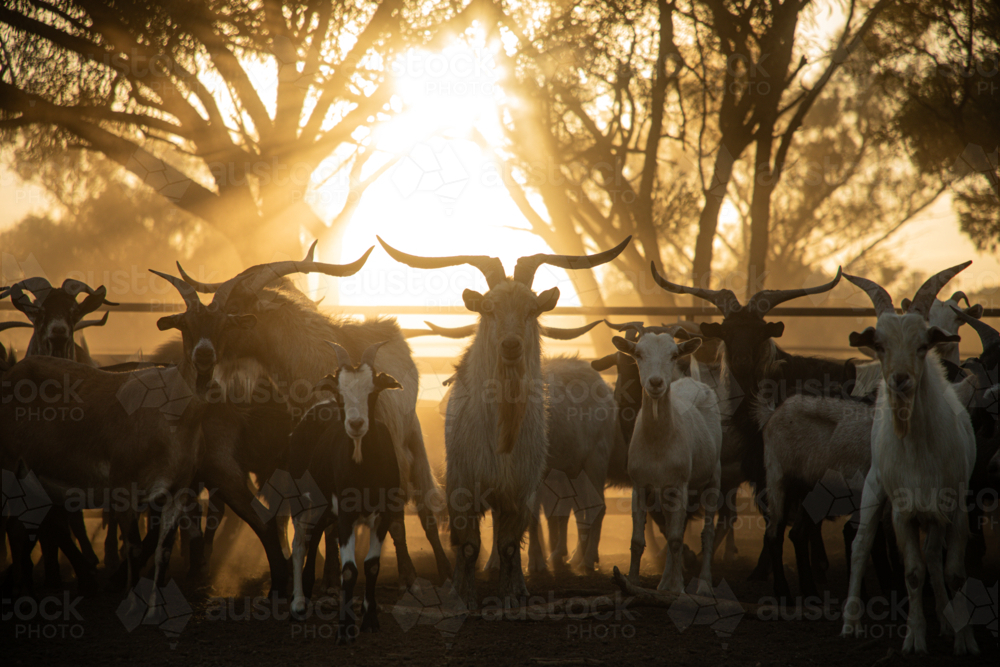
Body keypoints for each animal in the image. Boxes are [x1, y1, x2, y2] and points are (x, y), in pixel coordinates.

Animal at [288, 342, 402, 643]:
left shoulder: (383, 514)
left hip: (325, 508)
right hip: (299, 497)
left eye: (372, 390)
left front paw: (370, 620)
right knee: (300, 543)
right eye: (340, 393)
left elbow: (371, 565)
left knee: (315, 535)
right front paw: (346, 629)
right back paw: (298, 604)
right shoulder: (347, 515)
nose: (356, 424)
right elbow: (349, 571)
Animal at [378, 235, 630, 608]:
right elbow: (468, 545)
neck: (501, 435)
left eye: (532, 309)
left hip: (590, 463)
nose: (511, 345)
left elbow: (511, 545)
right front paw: (463, 594)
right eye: (489, 308)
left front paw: (511, 594)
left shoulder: (521, 489)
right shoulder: (464, 485)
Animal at [611, 323, 723, 594]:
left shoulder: (681, 483)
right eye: (638, 354)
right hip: (666, 491)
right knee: (675, 524)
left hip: (714, 474)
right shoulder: (640, 484)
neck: (658, 446)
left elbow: (675, 538)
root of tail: (694, 380)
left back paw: (703, 585)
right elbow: (638, 539)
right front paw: (632, 584)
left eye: (673, 355)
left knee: (706, 532)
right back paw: (663, 584)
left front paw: (679, 589)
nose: (655, 382)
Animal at [840, 264, 979, 656]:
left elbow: (953, 572)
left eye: (921, 346)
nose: (899, 380)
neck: (919, 448)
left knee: (934, 557)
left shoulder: (955, 505)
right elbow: (913, 572)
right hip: (874, 483)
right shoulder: (903, 511)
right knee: (861, 544)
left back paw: (947, 620)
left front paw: (964, 637)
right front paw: (914, 638)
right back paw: (851, 622)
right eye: (880, 345)